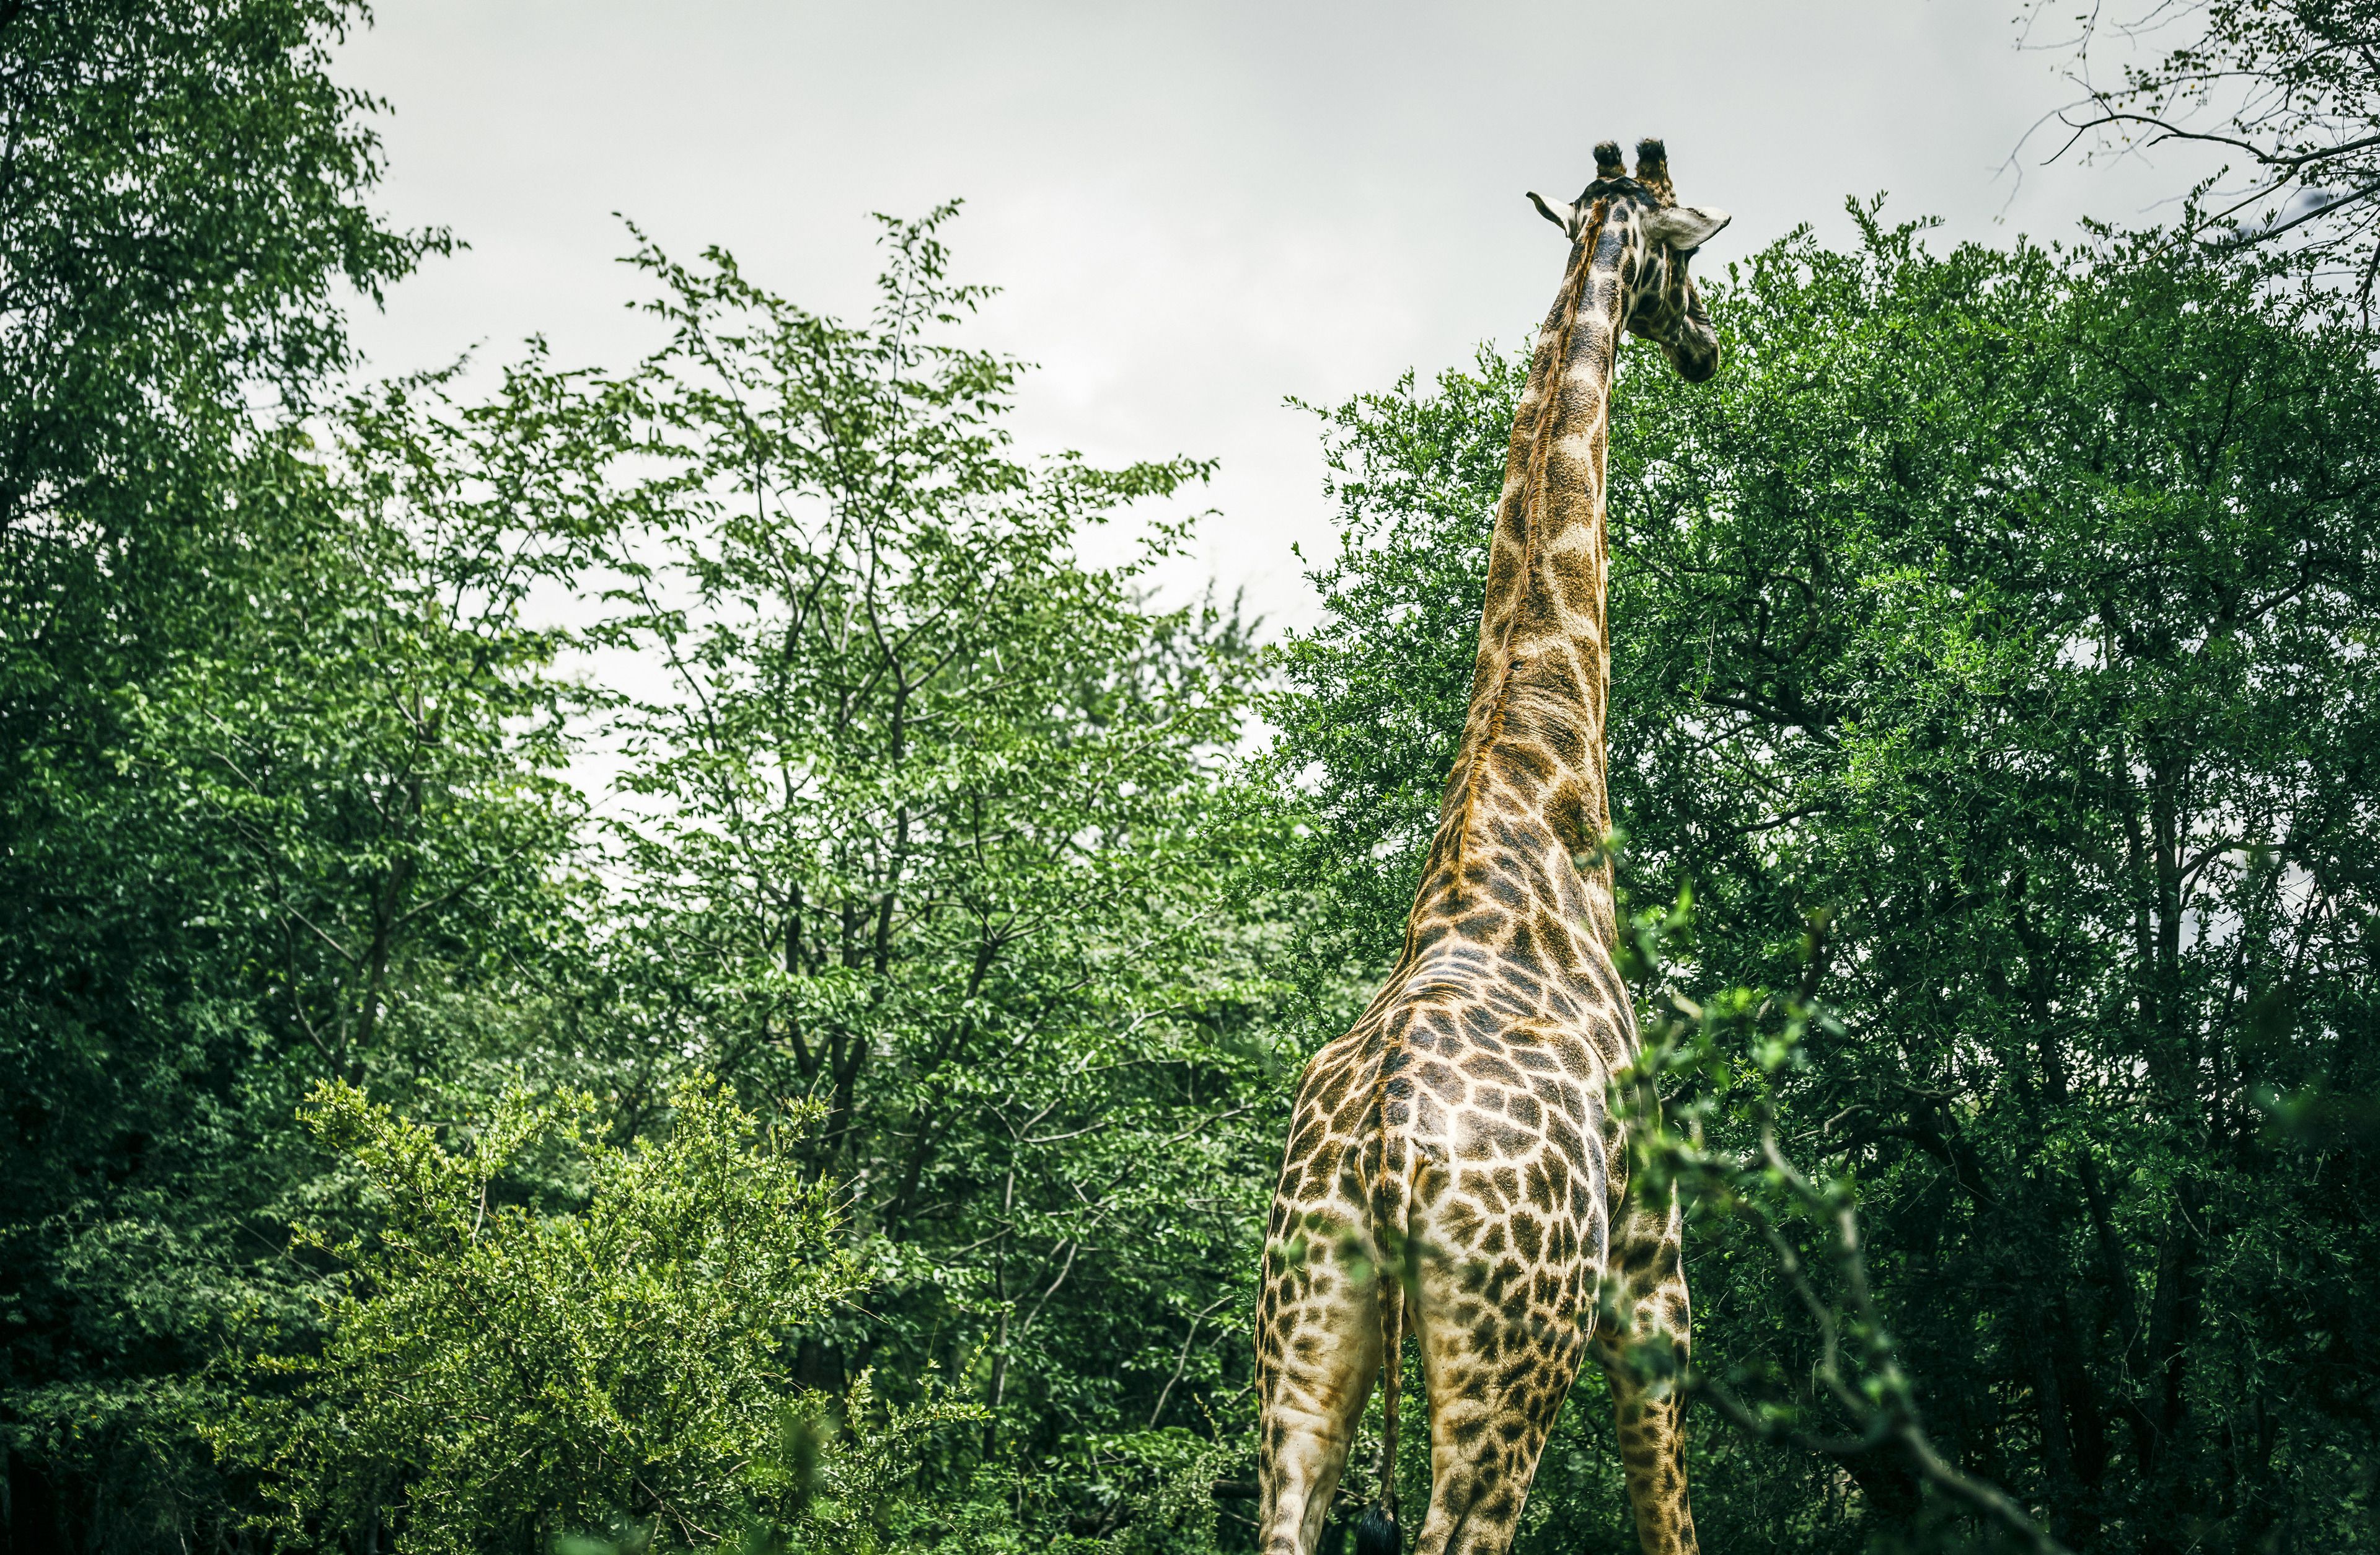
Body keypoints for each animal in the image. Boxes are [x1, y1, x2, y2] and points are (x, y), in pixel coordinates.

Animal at [1253, 139, 1730, 1555]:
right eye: (1691, 259)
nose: (1705, 349)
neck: (1531, 805)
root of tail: (1386, 1151)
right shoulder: (1653, 1276)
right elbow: (1668, 1515)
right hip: (1519, 1350)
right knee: (1465, 1525)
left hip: (1307, 1339)